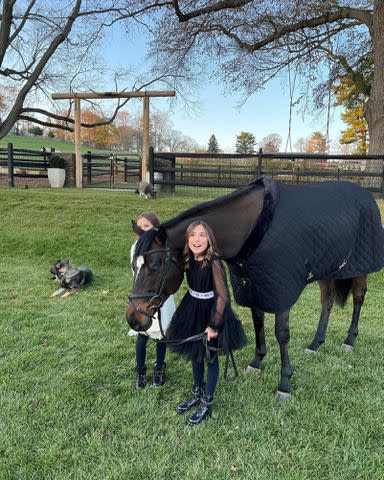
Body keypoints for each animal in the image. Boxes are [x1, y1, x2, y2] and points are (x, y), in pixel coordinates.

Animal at [126, 176, 384, 398]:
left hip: (359, 267)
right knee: (327, 302)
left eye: (156, 265)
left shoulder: (280, 291)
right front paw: (257, 363)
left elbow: (281, 334)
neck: (248, 228)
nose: (133, 319)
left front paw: (284, 383)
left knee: (358, 299)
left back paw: (349, 340)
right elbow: (259, 323)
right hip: (327, 269)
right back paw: (315, 343)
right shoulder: (253, 286)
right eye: (133, 264)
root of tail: (366, 195)